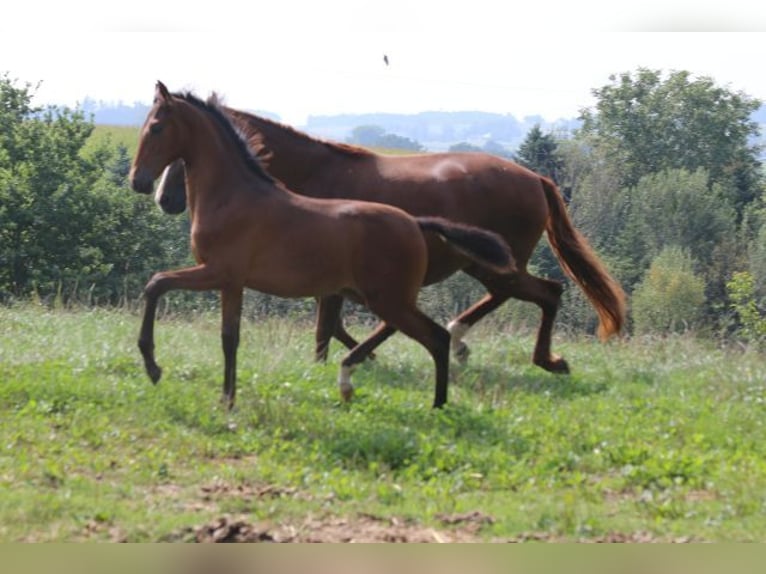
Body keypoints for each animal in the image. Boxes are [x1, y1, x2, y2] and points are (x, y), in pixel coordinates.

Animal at [130, 83, 516, 412]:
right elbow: (228, 337)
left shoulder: (219, 272)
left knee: (435, 337)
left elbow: (157, 284)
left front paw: (154, 367)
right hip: (378, 297)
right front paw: (226, 398)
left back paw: (435, 405)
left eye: (156, 127)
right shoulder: (230, 282)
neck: (233, 196)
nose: (139, 182)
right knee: (420, 334)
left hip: (388, 299)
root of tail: (415, 223)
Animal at [154, 107, 624, 376]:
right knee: (517, 295)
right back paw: (459, 340)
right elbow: (334, 325)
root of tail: (536, 179)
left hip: (496, 265)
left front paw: (335, 364)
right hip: (481, 264)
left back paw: (540, 358)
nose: (163, 197)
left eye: (179, 152)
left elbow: (327, 326)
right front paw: (359, 357)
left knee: (548, 291)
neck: (314, 173)